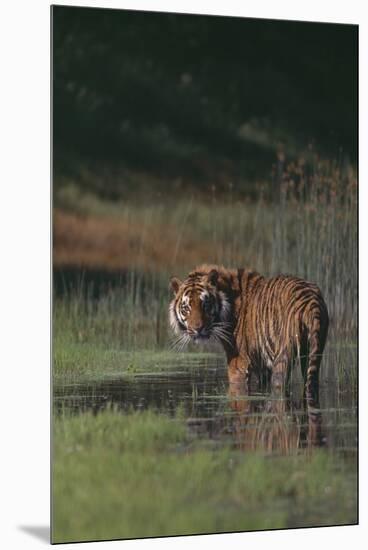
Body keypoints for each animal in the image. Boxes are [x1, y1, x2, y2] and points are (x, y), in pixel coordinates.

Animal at [168, 264, 330, 402]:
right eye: (186, 308)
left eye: (205, 304)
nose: (198, 329)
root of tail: (311, 302)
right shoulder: (263, 367)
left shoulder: (238, 363)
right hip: (314, 352)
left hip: (283, 357)